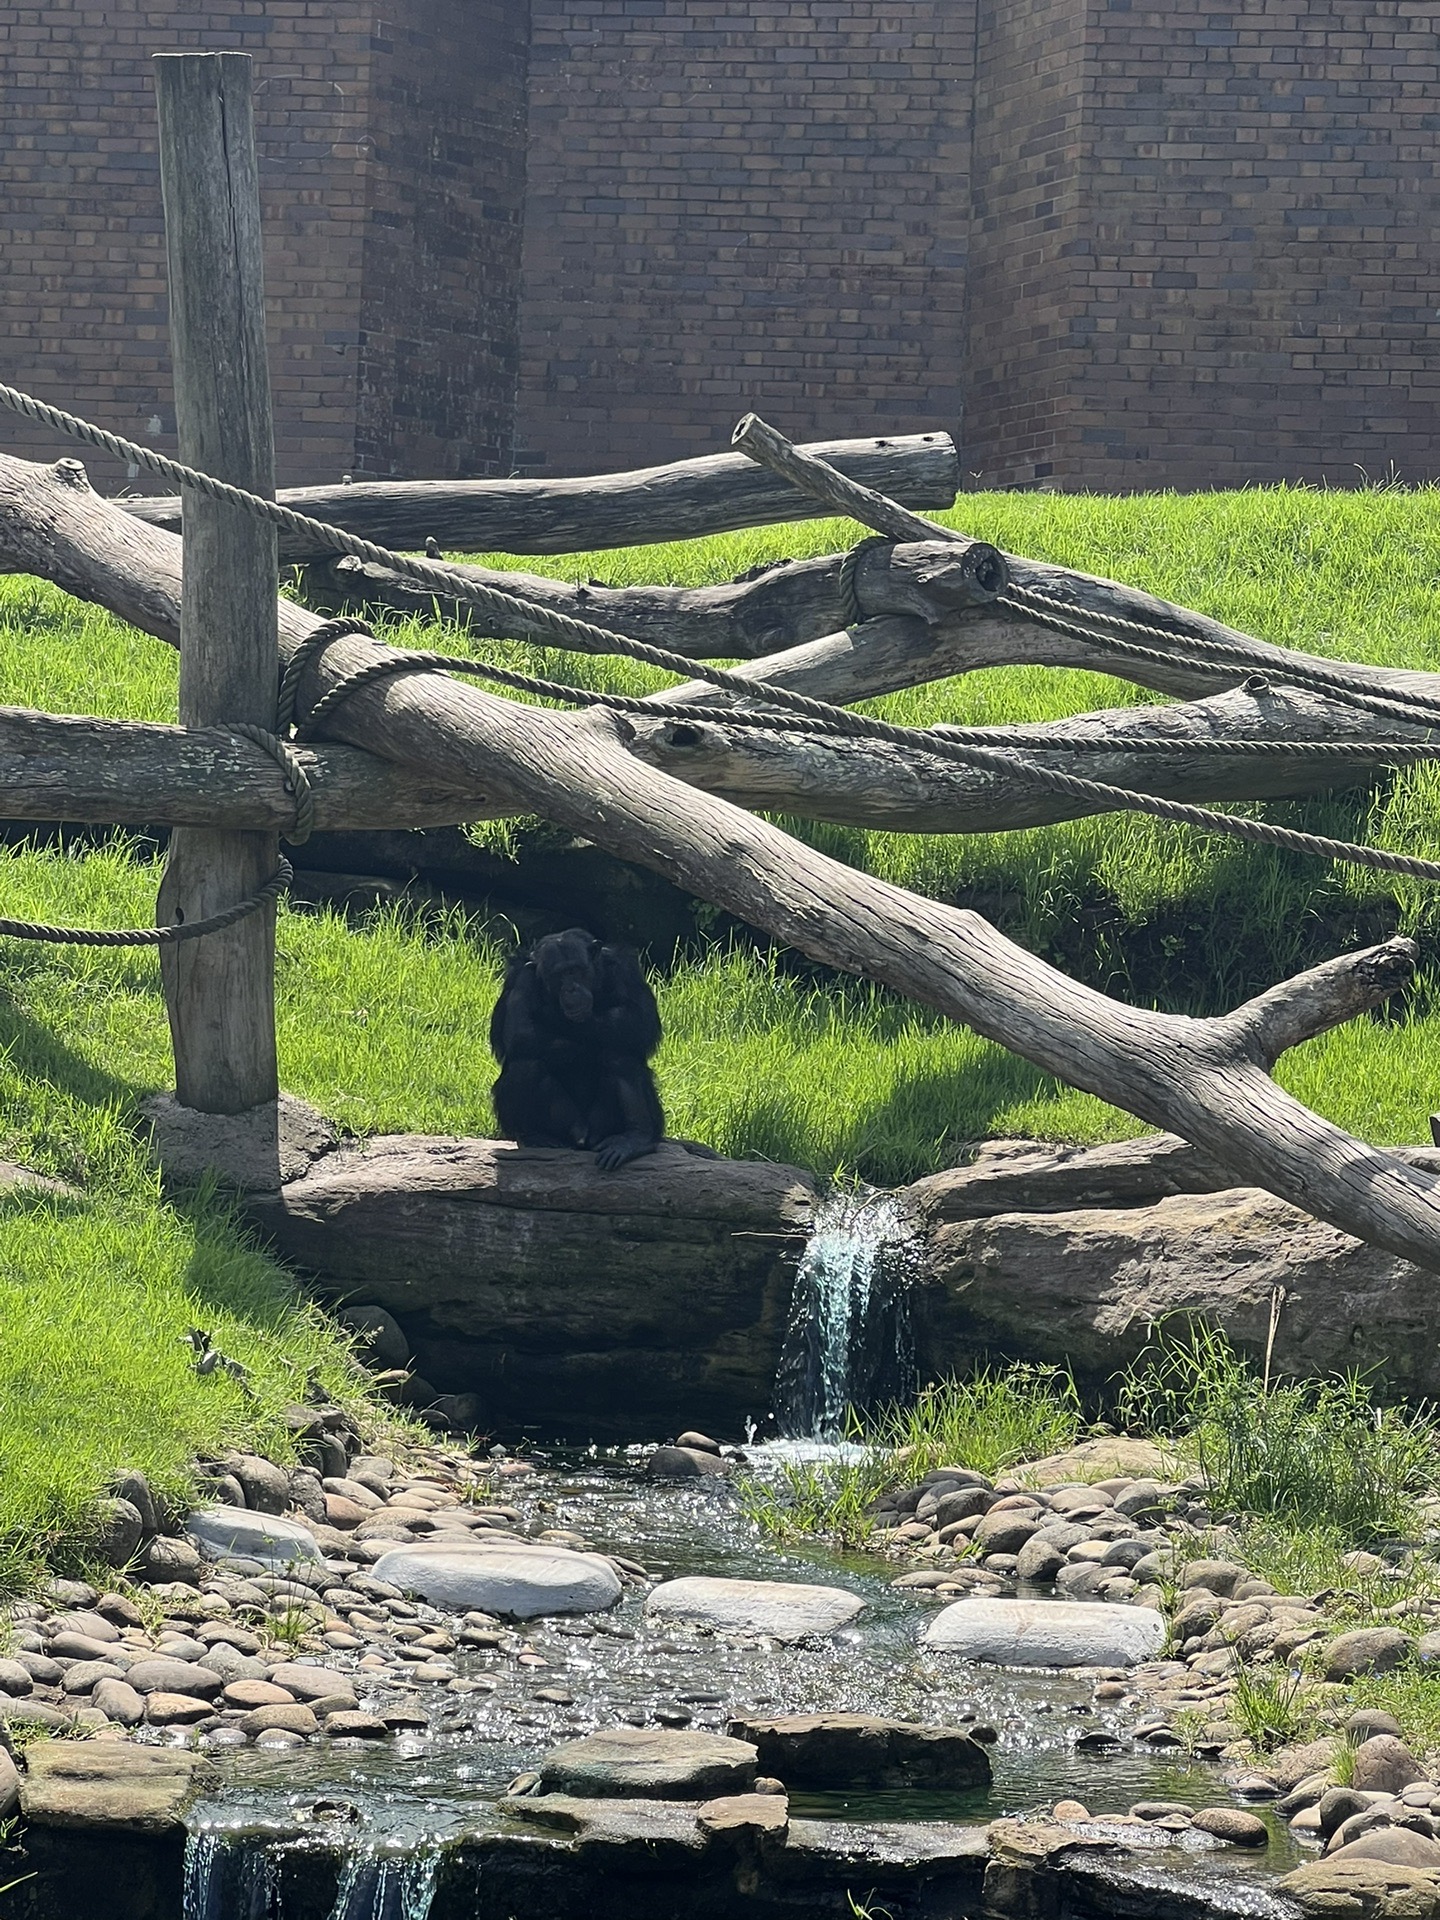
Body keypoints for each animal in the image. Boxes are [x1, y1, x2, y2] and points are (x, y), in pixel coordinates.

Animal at [487, 929, 664, 1167]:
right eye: (559, 975)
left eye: (575, 970)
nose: (570, 989)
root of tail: (583, 1138)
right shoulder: (522, 979)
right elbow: (520, 1032)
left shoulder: (624, 969)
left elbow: (639, 1020)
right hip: (567, 1125)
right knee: (526, 1066)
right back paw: (535, 1136)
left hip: (603, 1125)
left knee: (619, 1055)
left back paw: (635, 1138)